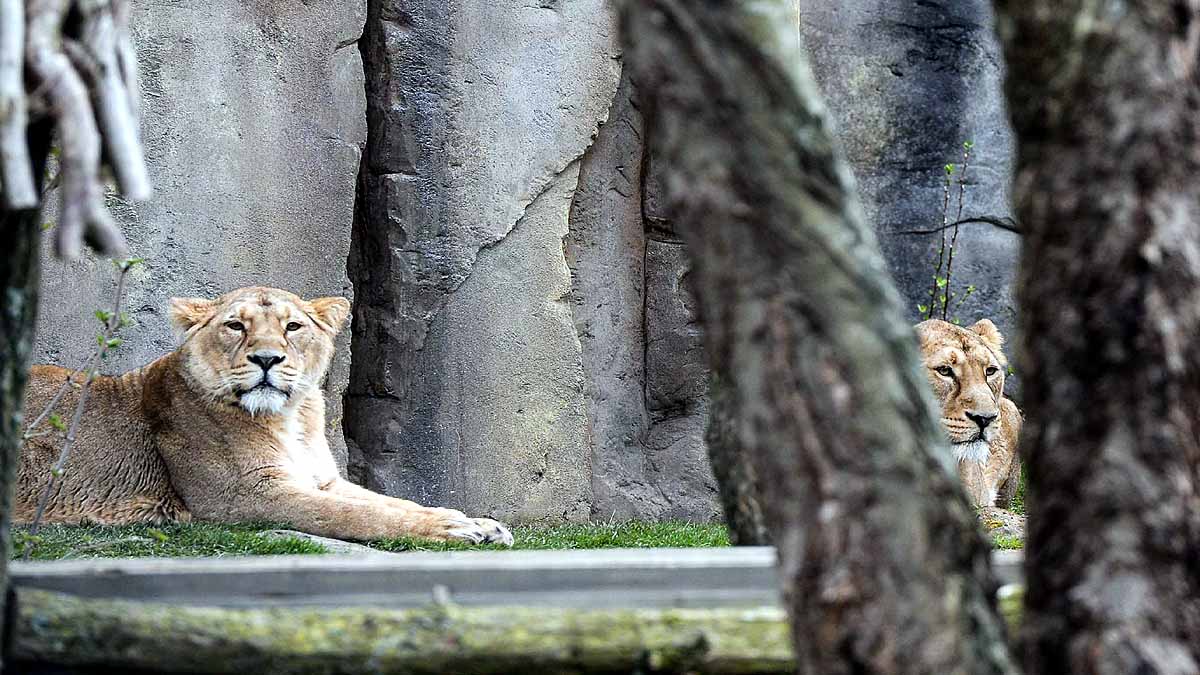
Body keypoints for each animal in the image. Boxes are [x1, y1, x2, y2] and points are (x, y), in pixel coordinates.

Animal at [15, 286, 513, 545]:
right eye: (236, 325)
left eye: (293, 326)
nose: (267, 359)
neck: (291, 417)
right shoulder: (246, 498)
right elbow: (355, 516)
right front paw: (450, 528)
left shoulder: (323, 479)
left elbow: (391, 502)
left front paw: (482, 524)